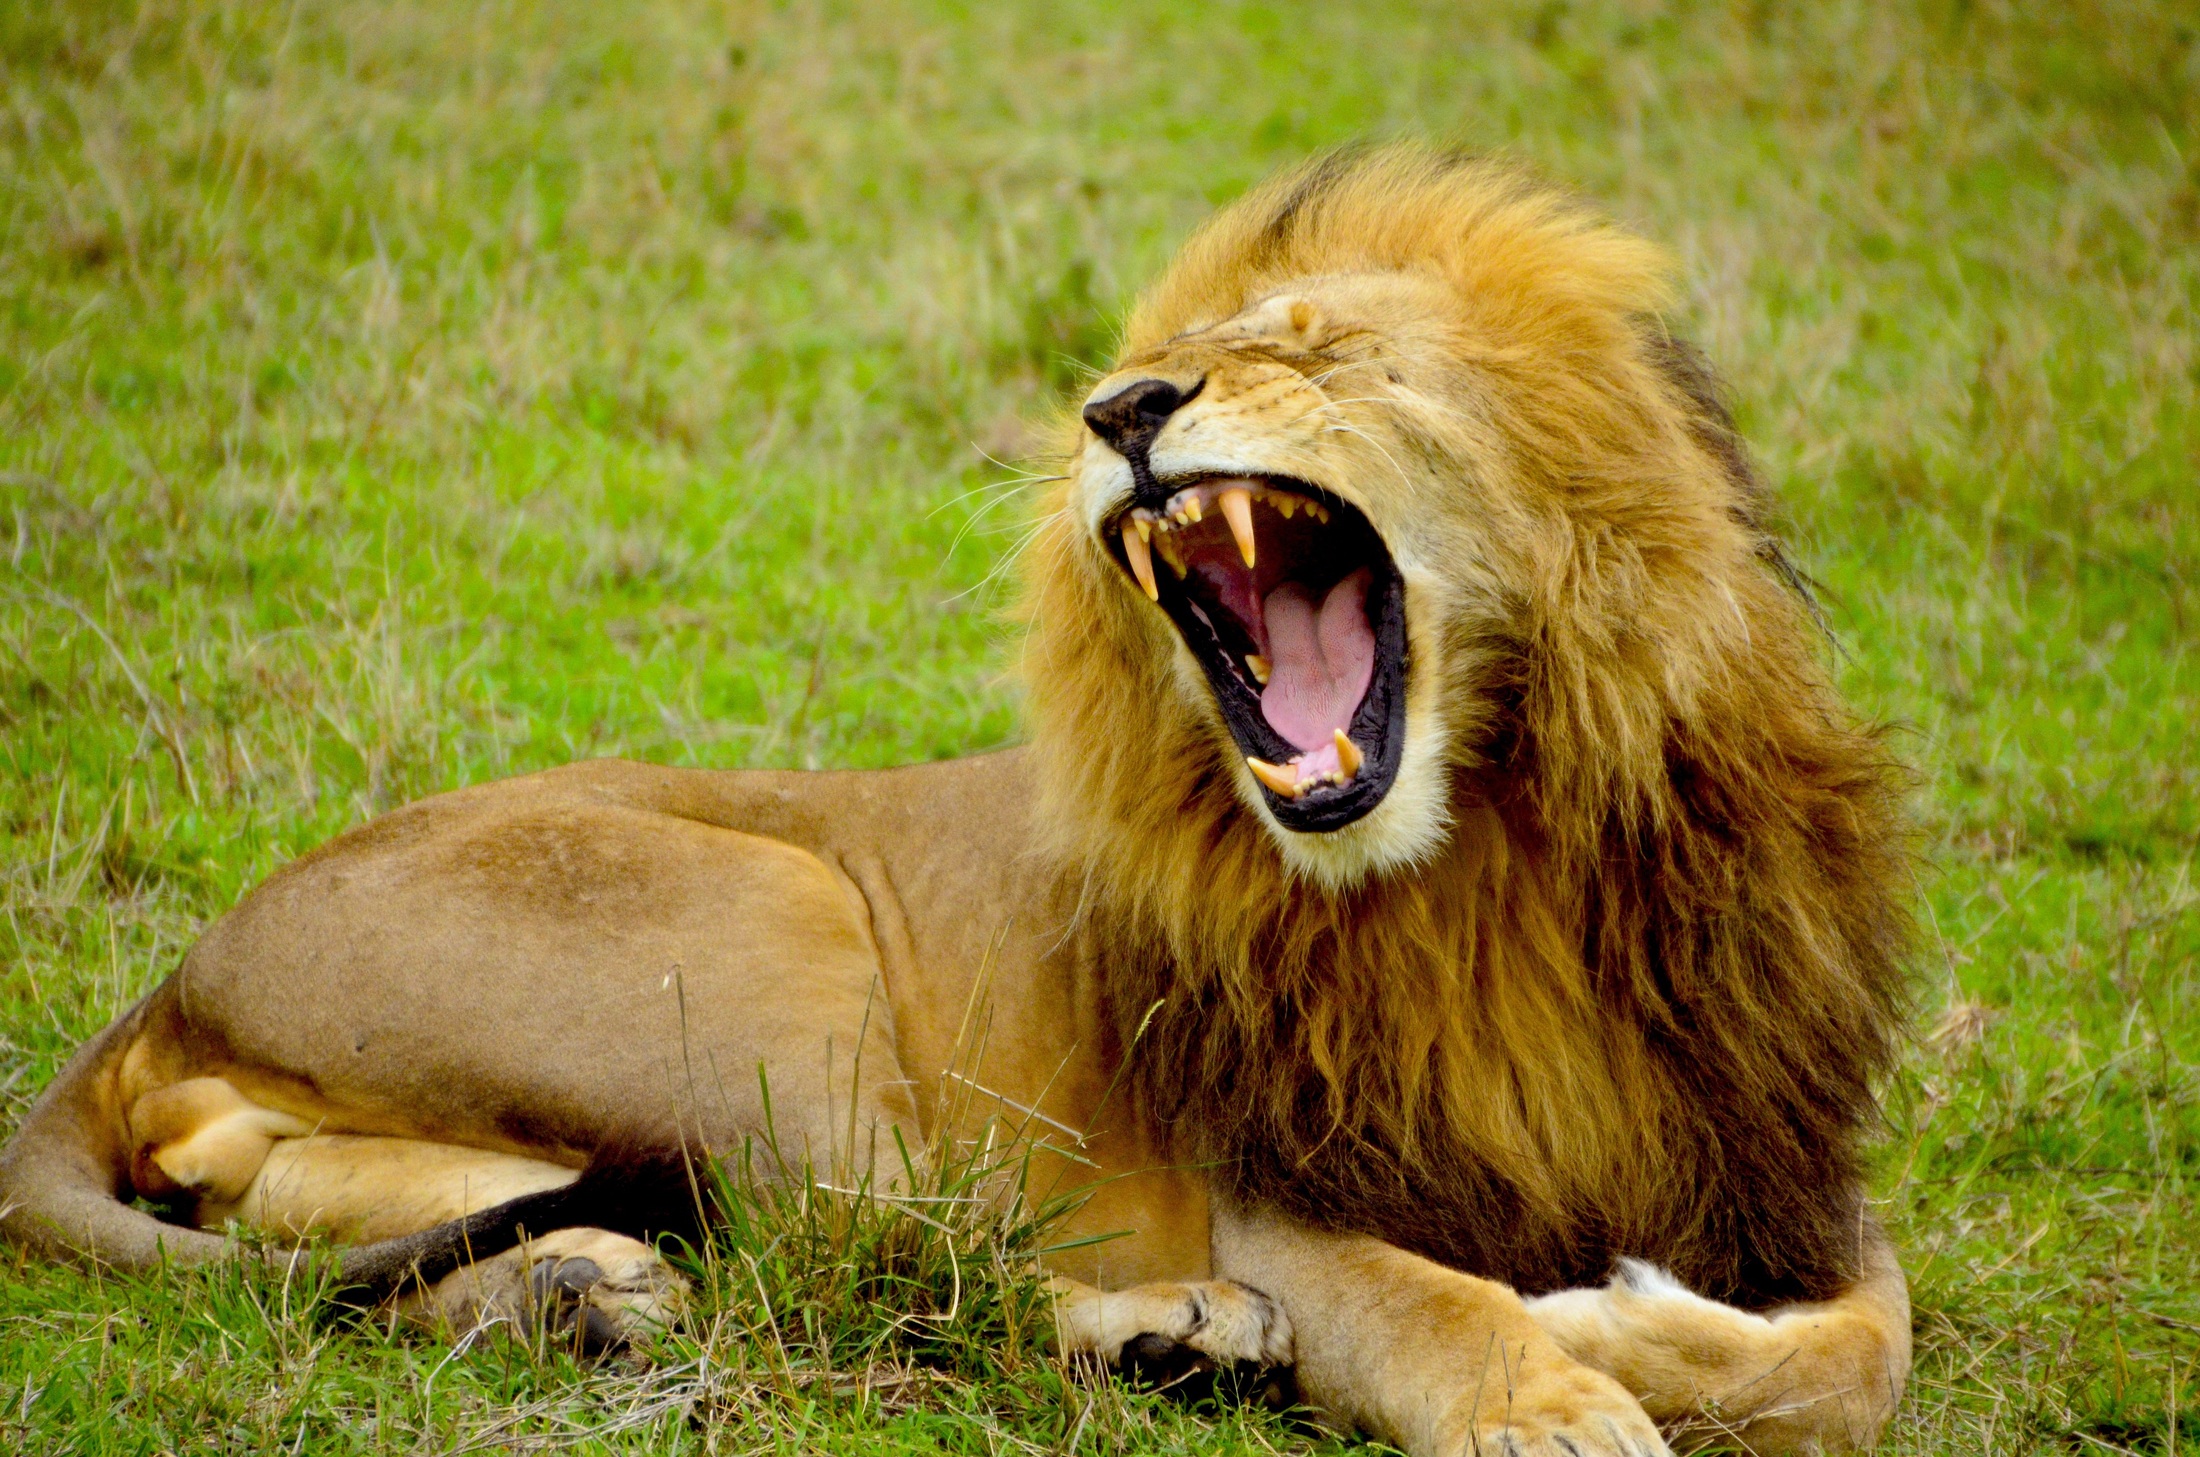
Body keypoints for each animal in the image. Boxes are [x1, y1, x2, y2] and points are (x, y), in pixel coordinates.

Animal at [0, 150, 1918, 1457]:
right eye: (1168, 356)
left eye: (1320, 349)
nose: (1122, 407)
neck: (1495, 856)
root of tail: (180, 967)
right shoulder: (1279, 1188)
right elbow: (1434, 1301)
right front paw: (1555, 1388)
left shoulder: (1778, 1158)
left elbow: (1860, 1353)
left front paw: (1619, 1320)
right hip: (771, 934)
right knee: (877, 1256)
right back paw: (1171, 1334)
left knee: (307, 1201)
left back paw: (581, 1292)